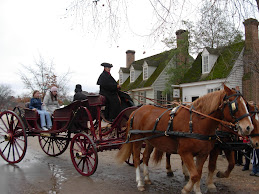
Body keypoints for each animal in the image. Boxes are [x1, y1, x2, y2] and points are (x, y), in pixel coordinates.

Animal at [117, 85, 254, 194]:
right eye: (234, 104)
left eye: (246, 104)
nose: (249, 127)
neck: (197, 122)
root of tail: (136, 111)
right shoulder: (185, 152)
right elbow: (194, 175)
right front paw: (186, 189)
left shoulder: (203, 154)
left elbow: (198, 174)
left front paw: (197, 191)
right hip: (137, 139)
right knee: (136, 159)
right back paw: (140, 183)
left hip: (150, 141)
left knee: (145, 157)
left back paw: (147, 179)